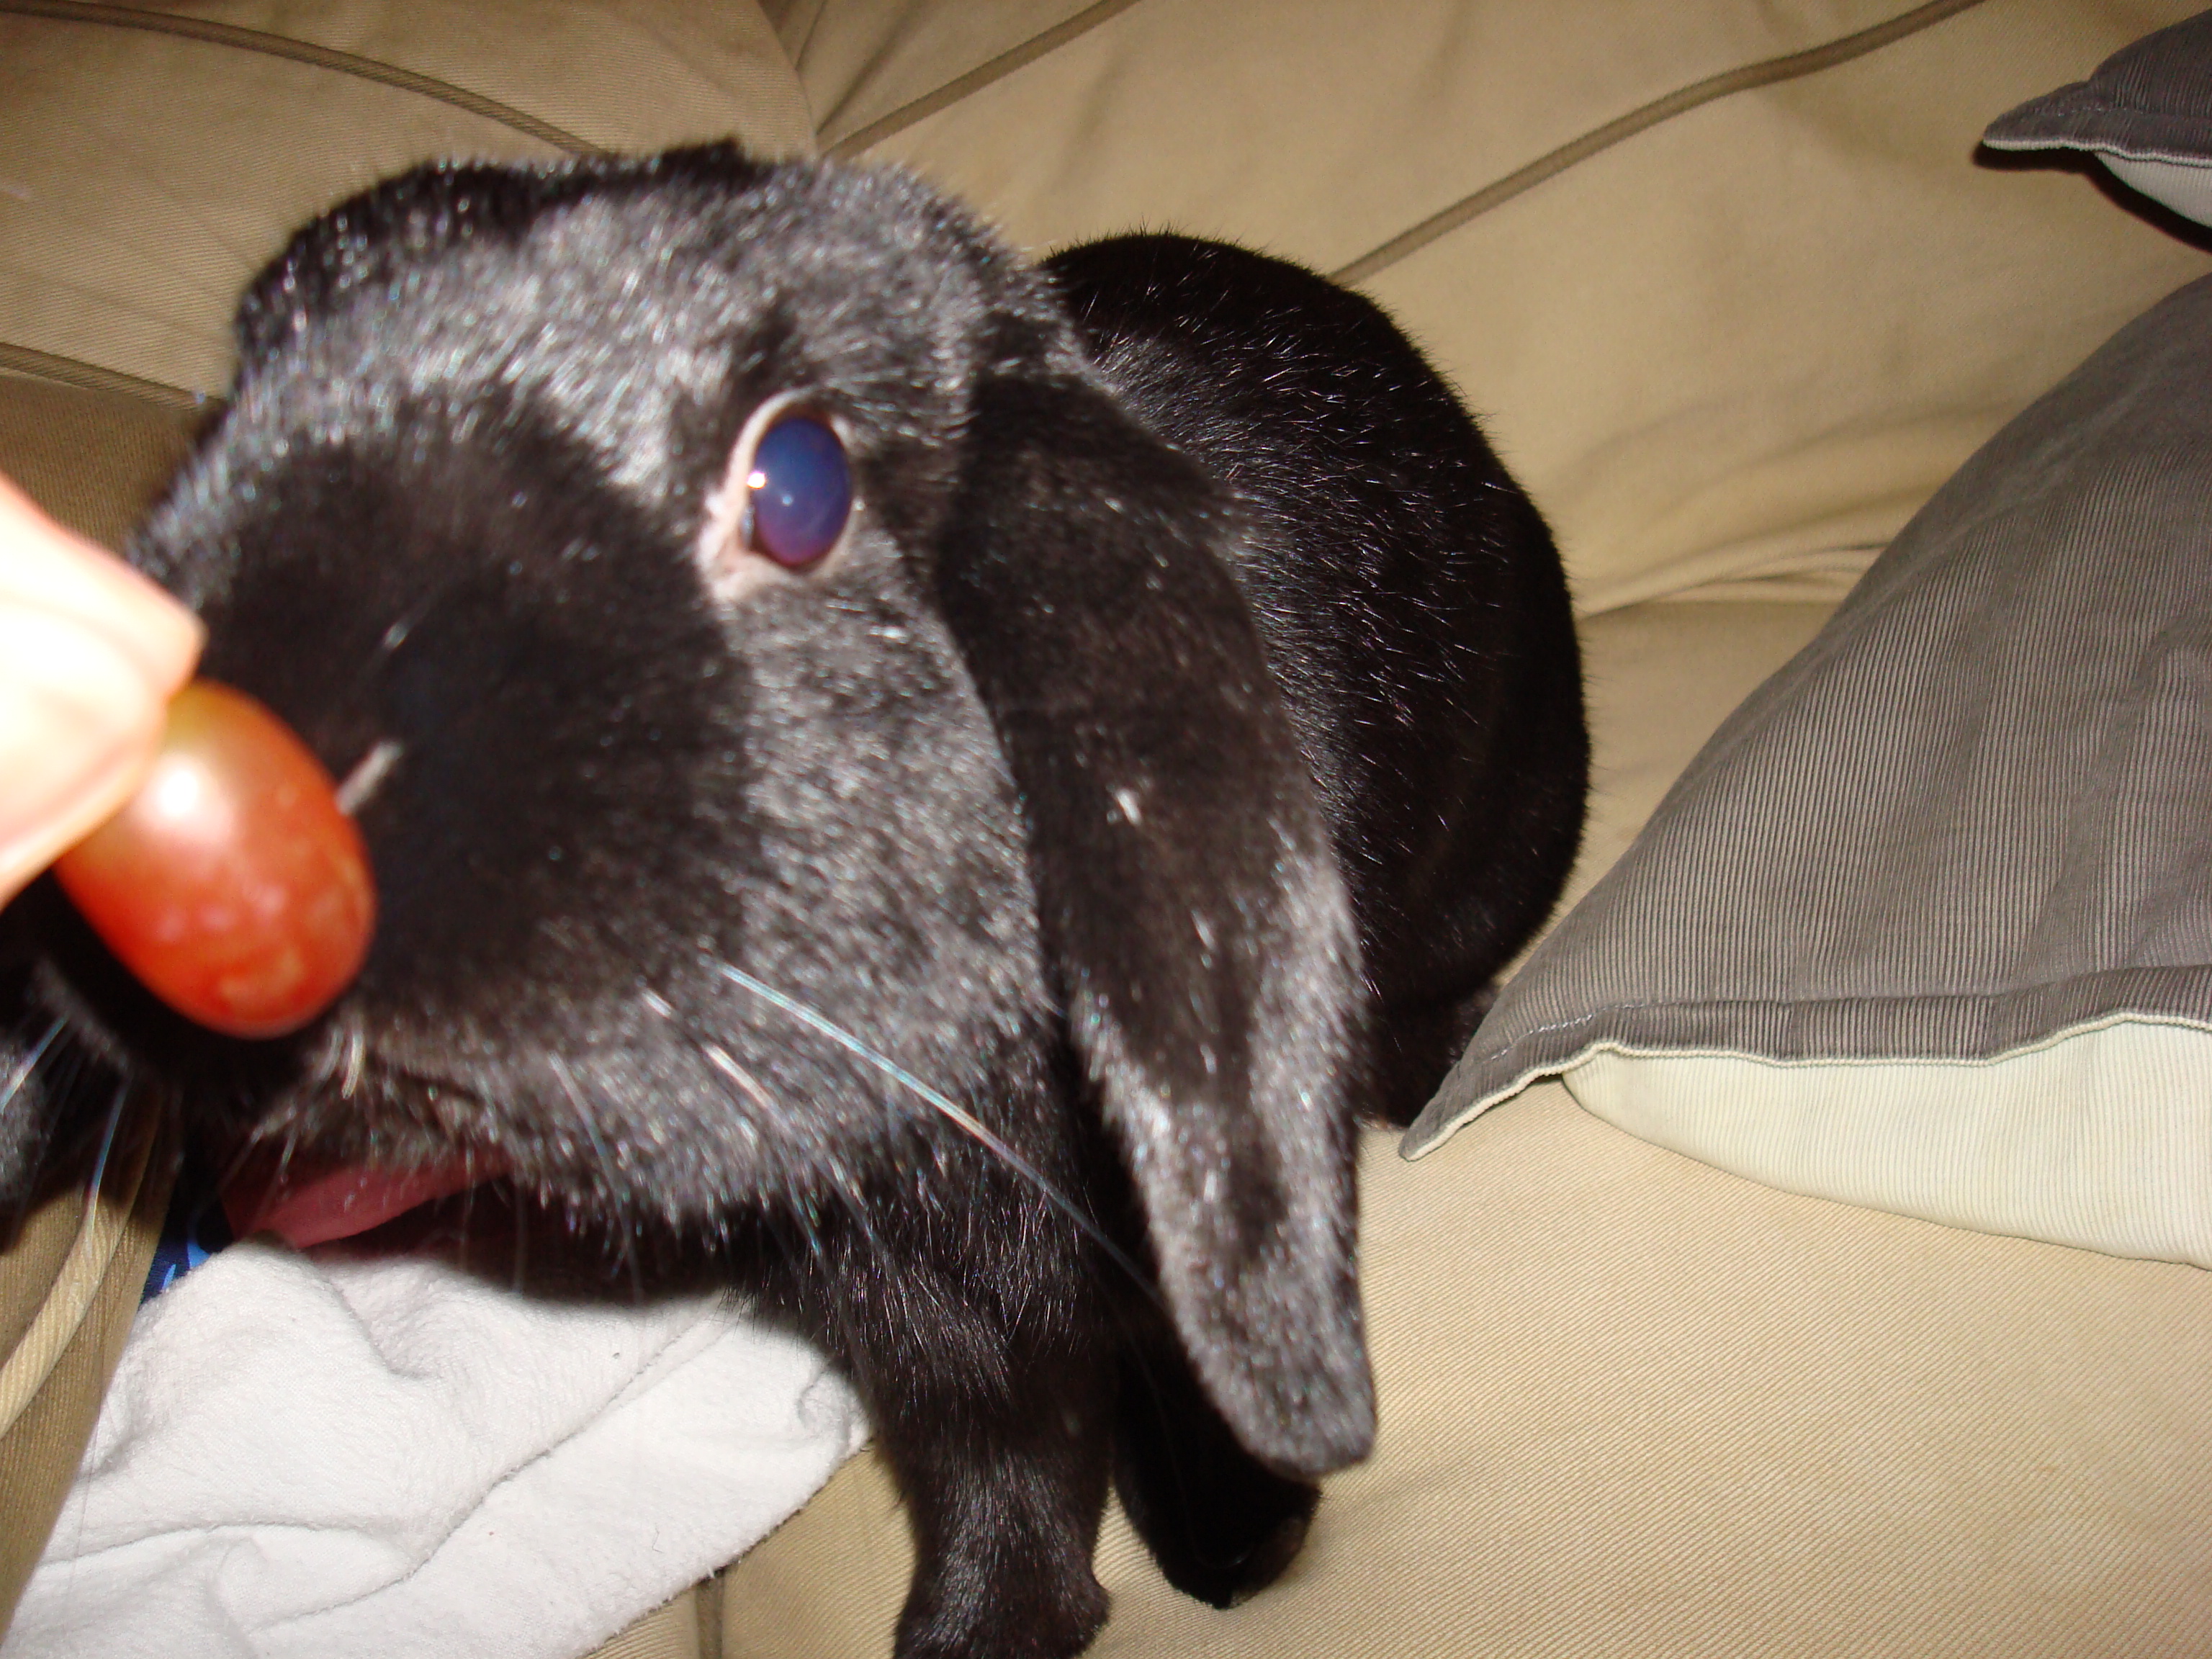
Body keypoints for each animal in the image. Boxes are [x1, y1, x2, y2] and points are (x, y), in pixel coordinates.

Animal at [0, 145, 1592, 1659]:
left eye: (801, 489)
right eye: (238, 381)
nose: (173, 864)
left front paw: (1238, 1537)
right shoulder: (933, 1334)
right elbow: (1001, 1473)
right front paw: (984, 1630)